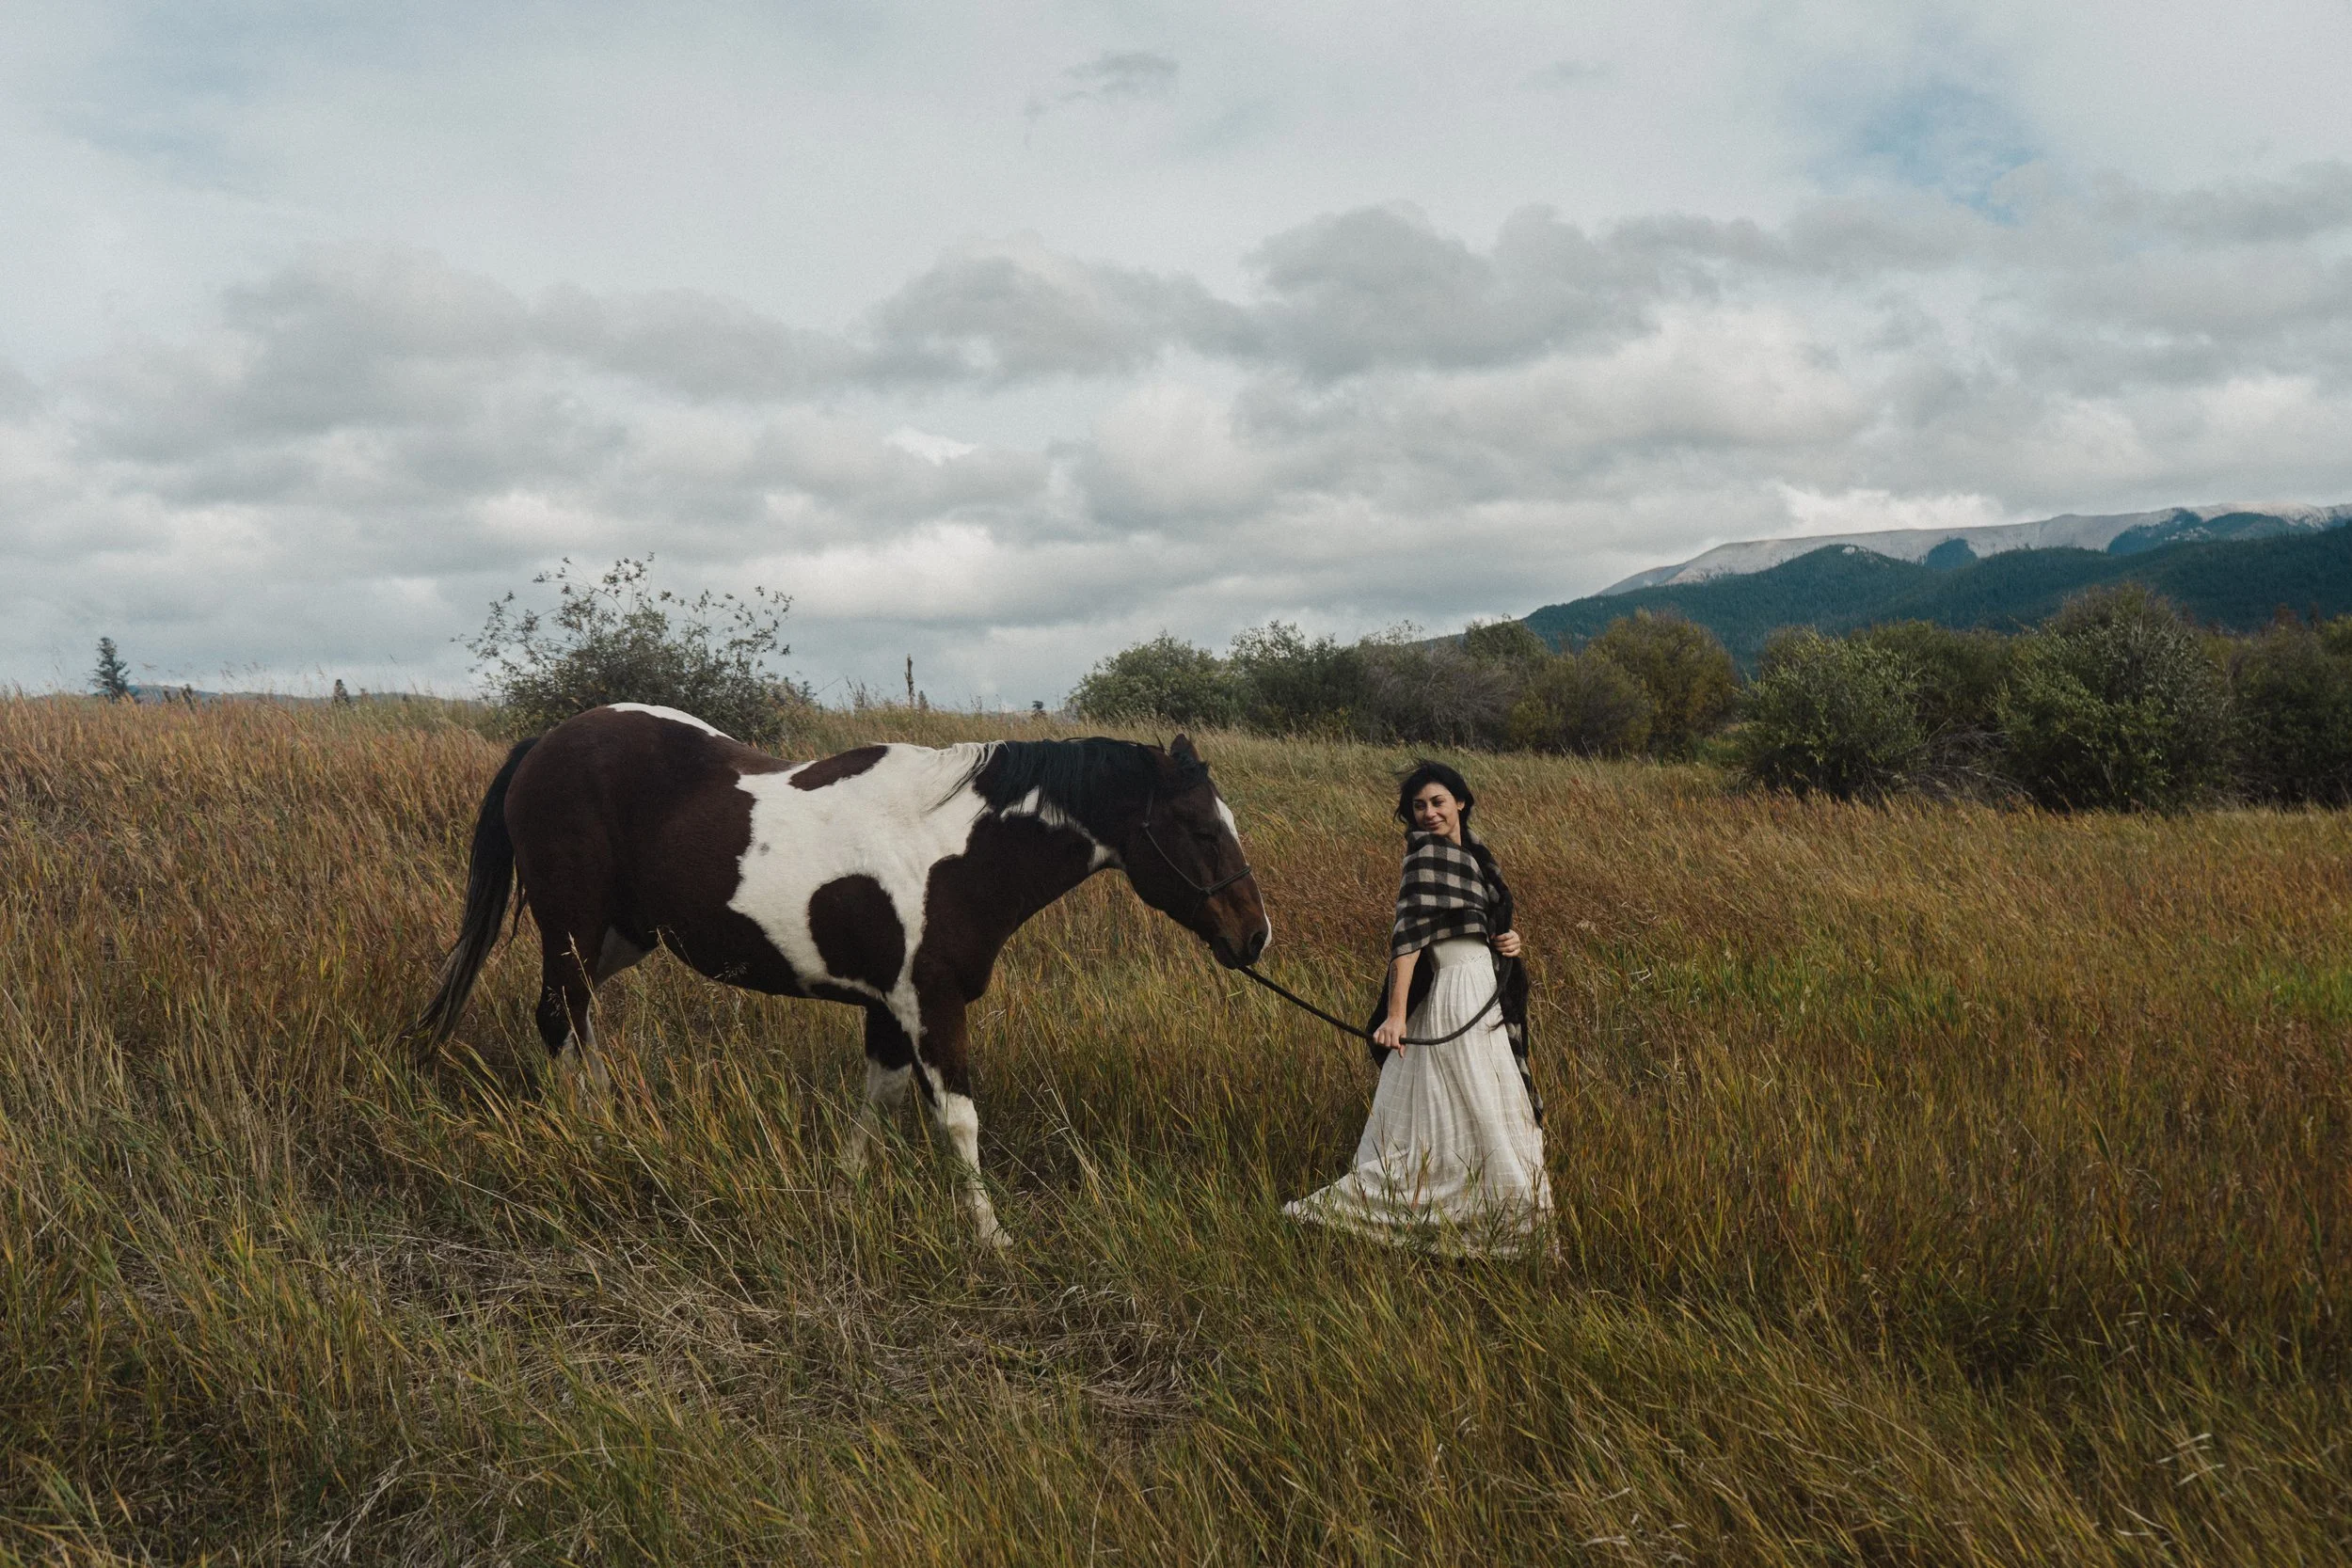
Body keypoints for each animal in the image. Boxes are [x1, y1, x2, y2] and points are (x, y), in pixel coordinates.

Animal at [414, 703, 1270, 1244]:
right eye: (1199, 828)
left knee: (582, 1018)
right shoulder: (931, 1004)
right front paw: (992, 1236)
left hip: (622, 936)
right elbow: (958, 1121)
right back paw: (588, 1135)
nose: (1254, 935)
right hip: (572, 926)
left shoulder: (891, 1007)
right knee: (558, 1017)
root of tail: (546, 744)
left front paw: (843, 1194)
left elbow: (877, 1100)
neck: (953, 850)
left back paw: (610, 1122)